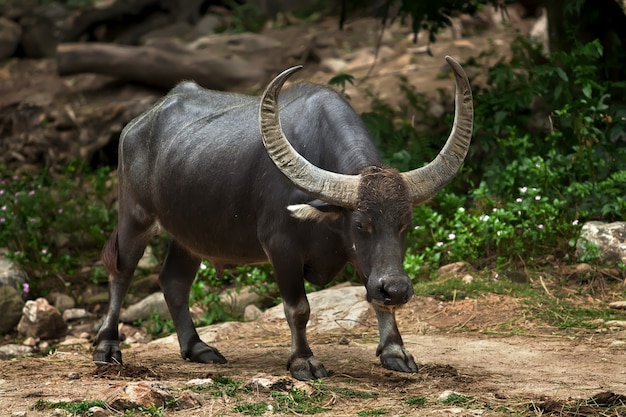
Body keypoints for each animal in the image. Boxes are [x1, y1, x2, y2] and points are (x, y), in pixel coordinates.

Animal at [94, 56, 472, 380]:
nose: (397, 289)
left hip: (190, 234)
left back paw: (197, 347)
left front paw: (395, 351)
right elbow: (298, 308)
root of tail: (135, 126)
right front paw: (304, 361)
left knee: (174, 280)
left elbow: (374, 296)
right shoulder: (281, 248)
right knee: (122, 273)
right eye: (361, 224)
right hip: (135, 216)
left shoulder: (363, 257)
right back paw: (107, 347)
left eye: (405, 224)